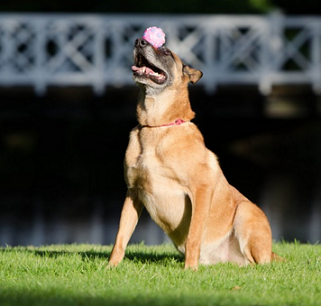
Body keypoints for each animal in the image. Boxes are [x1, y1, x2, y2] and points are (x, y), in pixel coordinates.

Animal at [109, 37, 274, 268]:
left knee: (259, 263)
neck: (157, 126)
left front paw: (190, 269)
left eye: (166, 52)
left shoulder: (200, 190)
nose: (139, 41)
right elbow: (120, 237)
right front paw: (110, 266)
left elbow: (194, 235)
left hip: (245, 212)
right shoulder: (133, 193)